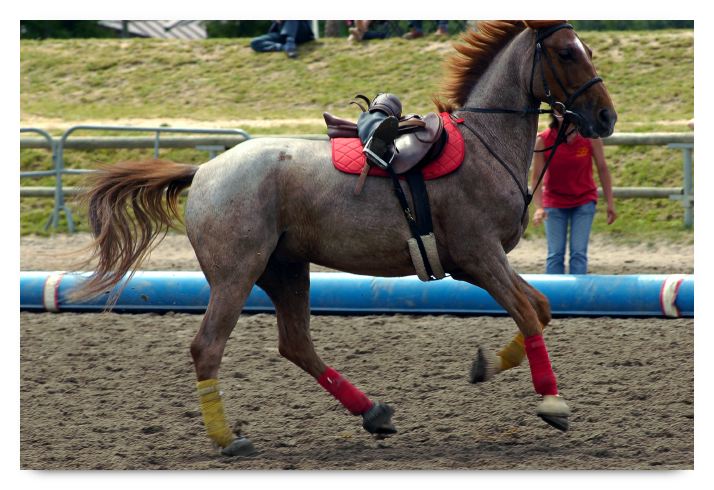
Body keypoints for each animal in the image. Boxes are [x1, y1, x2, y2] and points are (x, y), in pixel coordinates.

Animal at [74, 20, 616, 457]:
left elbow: (540, 309)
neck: (485, 144)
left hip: (285, 271)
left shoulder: (482, 265)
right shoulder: (480, 257)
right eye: (566, 52)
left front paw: (486, 367)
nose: (606, 118)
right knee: (208, 347)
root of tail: (204, 169)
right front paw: (552, 401)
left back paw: (372, 412)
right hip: (236, 275)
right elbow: (527, 312)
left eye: (586, 47)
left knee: (296, 344)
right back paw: (229, 439)